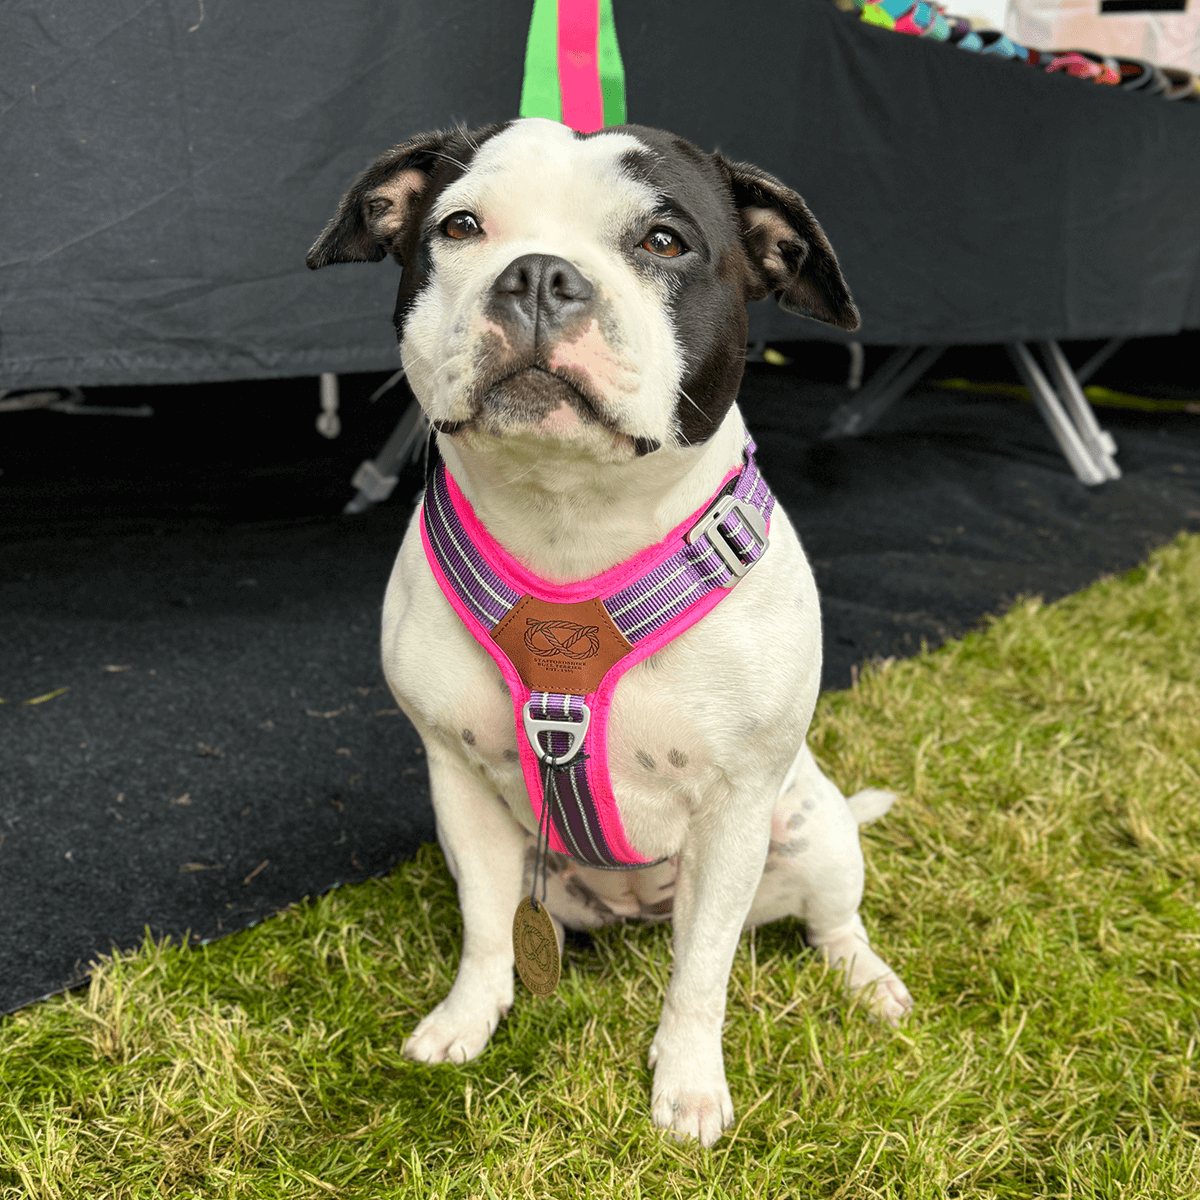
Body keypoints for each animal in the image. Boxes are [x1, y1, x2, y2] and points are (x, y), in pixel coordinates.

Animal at [307, 117, 907, 1147]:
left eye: (662, 242)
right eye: (460, 226)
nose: (540, 275)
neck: (571, 522)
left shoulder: (735, 809)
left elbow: (702, 973)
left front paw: (690, 1085)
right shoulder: (457, 781)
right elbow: (482, 928)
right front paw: (468, 1017)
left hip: (810, 831)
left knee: (834, 923)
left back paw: (867, 981)